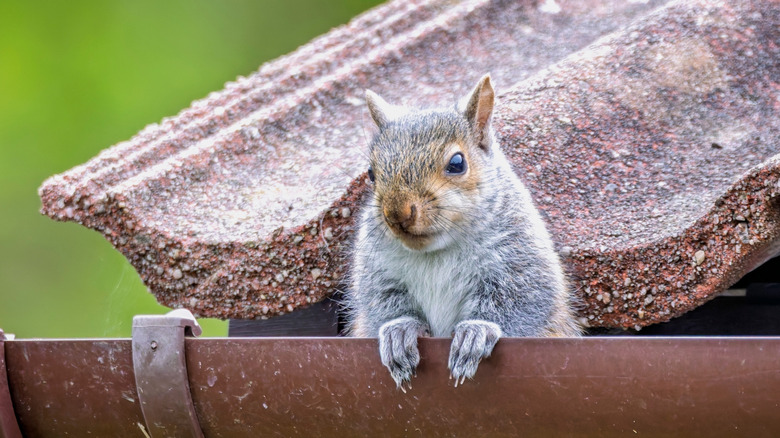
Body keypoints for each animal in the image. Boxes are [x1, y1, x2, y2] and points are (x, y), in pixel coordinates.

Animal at [345, 74, 581, 390]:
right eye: (371, 173)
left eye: (457, 163)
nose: (397, 214)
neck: (436, 251)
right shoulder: (379, 272)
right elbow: (381, 303)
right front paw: (399, 332)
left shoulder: (521, 261)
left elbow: (522, 302)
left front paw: (475, 333)